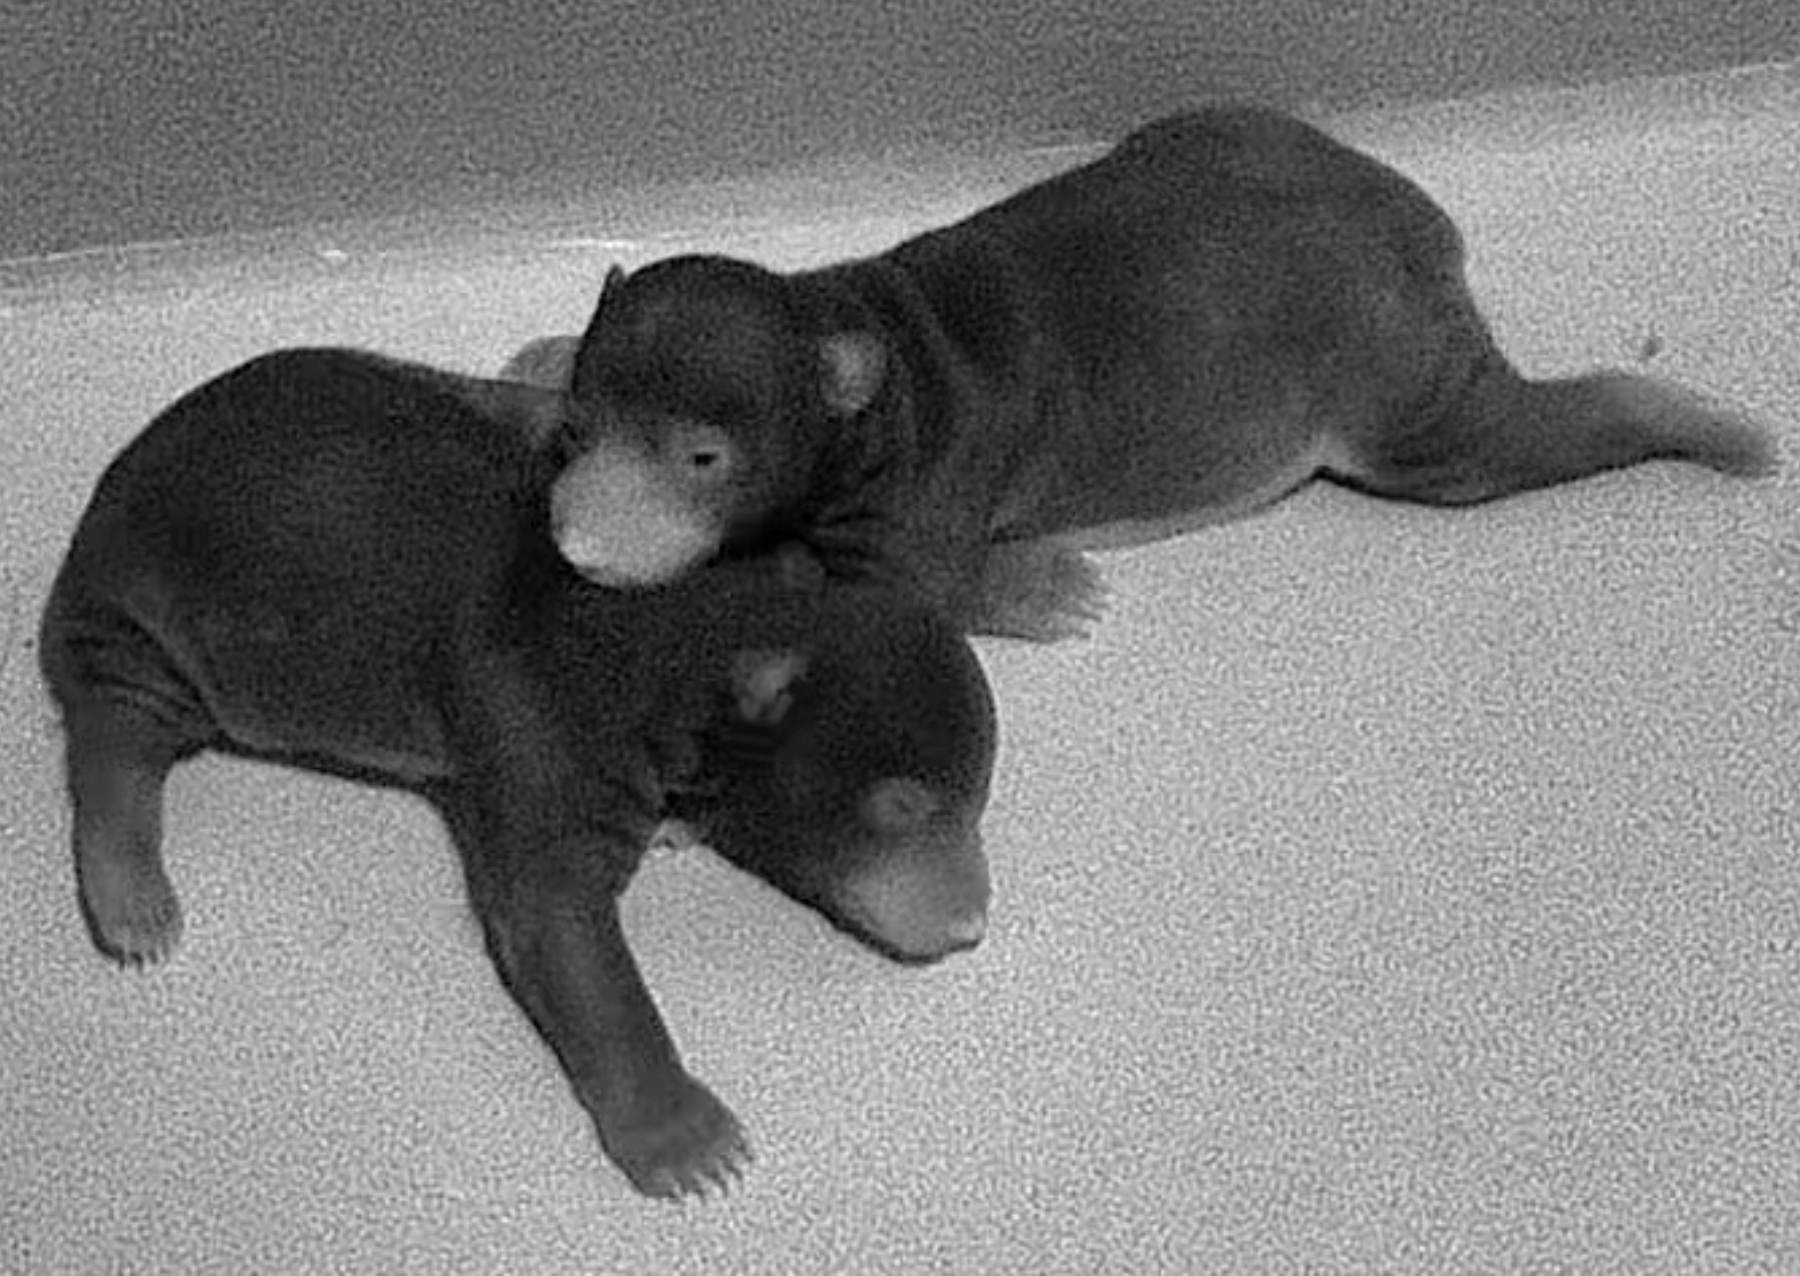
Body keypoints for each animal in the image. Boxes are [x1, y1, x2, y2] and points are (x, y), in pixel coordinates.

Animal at [37, 348, 998, 1200]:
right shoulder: (540, 717)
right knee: (115, 729)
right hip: (160, 625)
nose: (971, 926)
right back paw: (131, 896)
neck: (698, 624)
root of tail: (102, 503)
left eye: (977, 797)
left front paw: (682, 819)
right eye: (901, 806)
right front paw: (685, 1137)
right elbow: (556, 923)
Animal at [502, 104, 1778, 641]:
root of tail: (1409, 221)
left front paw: (1046, 588)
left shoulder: (920, 484)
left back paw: (1711, 425)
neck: (848, 319)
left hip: (1398, 382)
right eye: (577, 434)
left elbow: (918, 588)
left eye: (703, 458)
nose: (578, 544)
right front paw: (539, 352)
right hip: (1226, 131)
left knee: (1504, 434)